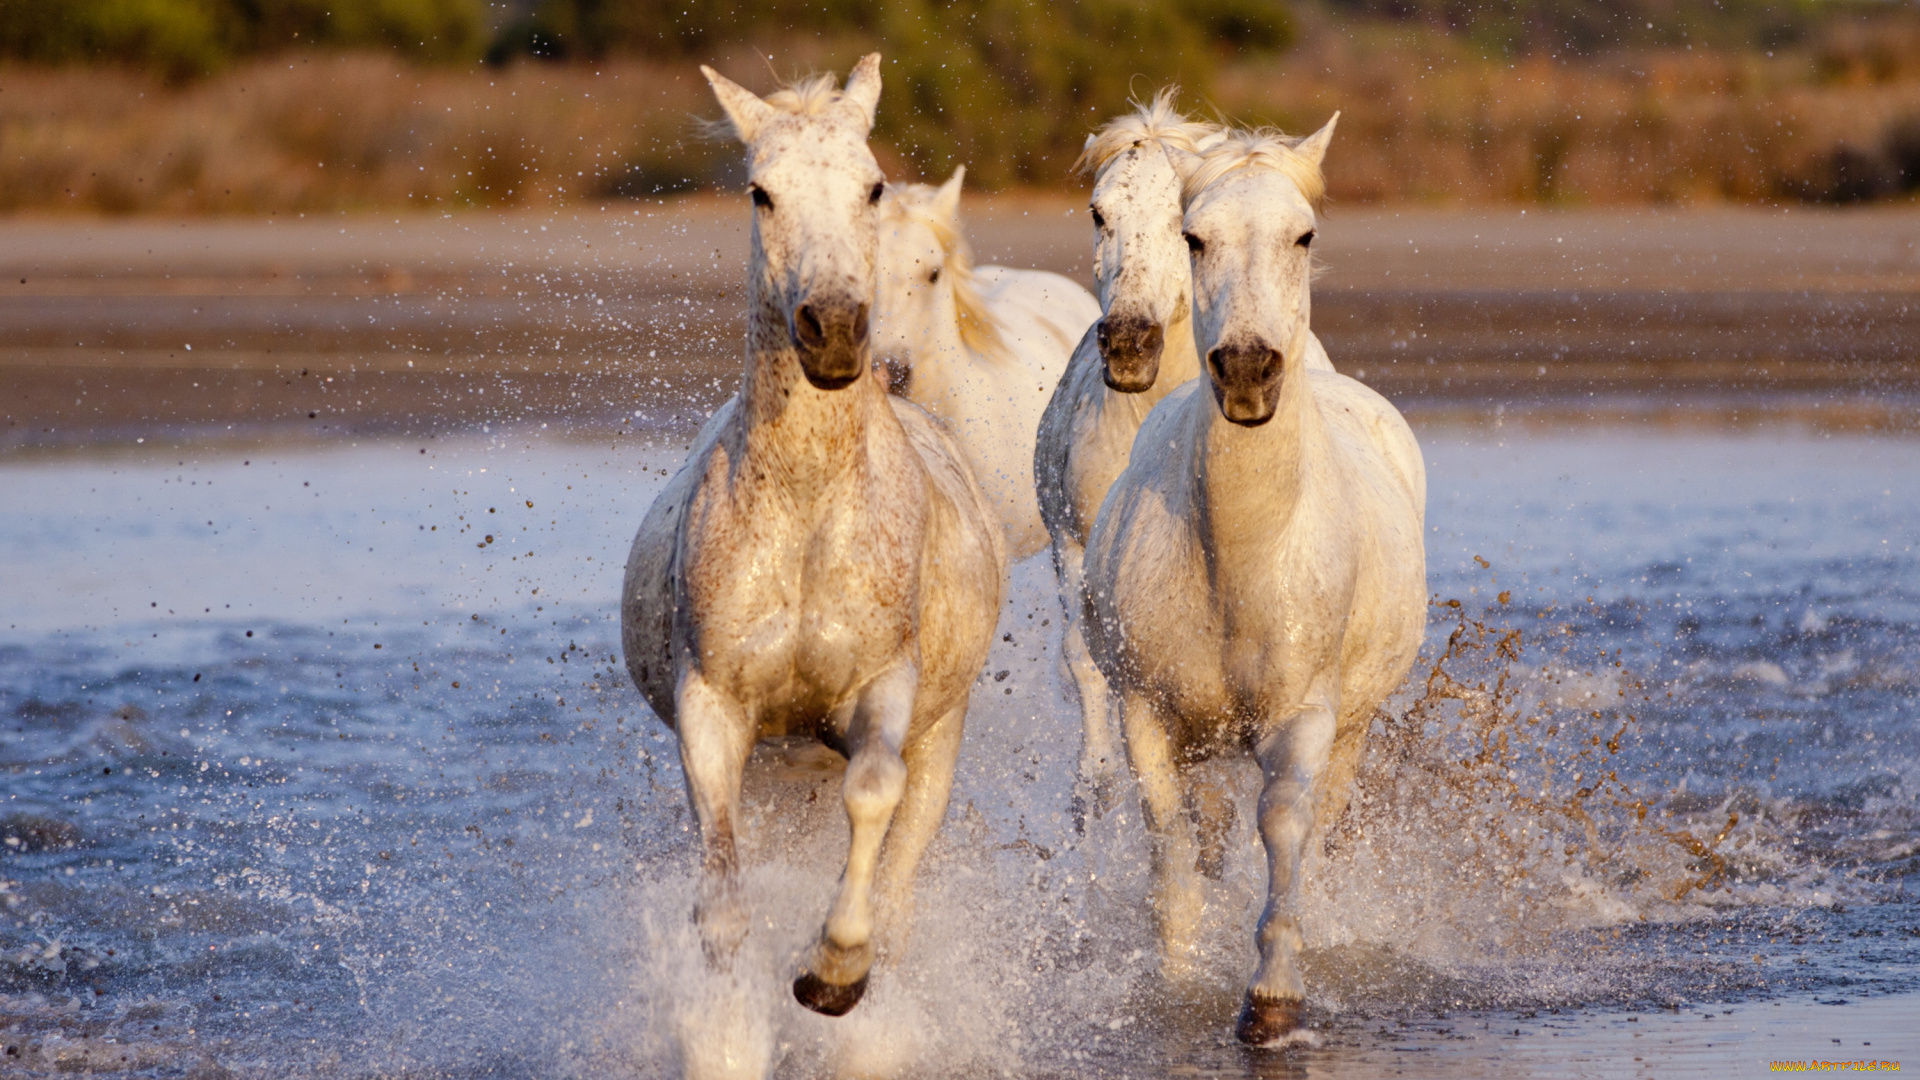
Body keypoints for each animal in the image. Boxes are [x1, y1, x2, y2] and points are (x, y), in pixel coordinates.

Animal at [622, 56, 1006, 1014]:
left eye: (872, 185)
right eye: (761, 192)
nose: (833, 330)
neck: (806, 513)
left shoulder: (884, 689)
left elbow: (873, 793)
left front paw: (833, 969)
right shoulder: (713, 706)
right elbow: (721, 892)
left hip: (941, 738)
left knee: (903, 859)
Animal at [1036, 92, 1336, 818]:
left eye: (1181, 223)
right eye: (1098, 213)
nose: (1128, 344)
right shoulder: (1076, 548)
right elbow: (1087, 665)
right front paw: (1094, 787)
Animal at [1082, 117, 1428, 1045]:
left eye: (1303, 236)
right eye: (1195, 238)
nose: (1245, 369)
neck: (1241, 559)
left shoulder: (1304, 718)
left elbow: (1283, 827)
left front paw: (1273, 996)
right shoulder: (1146, 714)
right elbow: (1169, 838)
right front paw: (1176, 977)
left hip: (1353, 725)